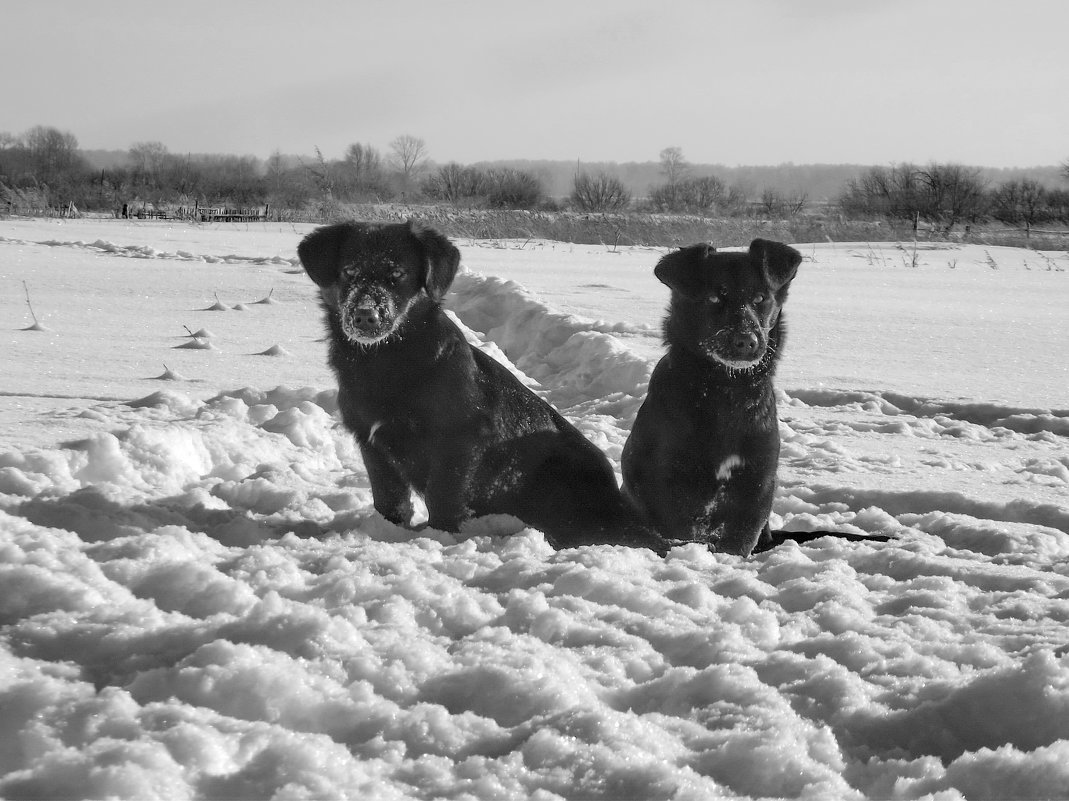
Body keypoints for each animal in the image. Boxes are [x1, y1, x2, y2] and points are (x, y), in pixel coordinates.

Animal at [301, 221, 662, 551]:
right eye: (349, 271)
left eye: (398, 274)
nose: (366, 316)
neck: (384, 362)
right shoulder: (372, 443)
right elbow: (390, 500)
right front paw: (389, 529)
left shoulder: (459, 440)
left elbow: (443, 497)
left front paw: (440, 538)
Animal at [624, 234, 880, 551]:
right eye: (714, 297)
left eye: (760, 298)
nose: (745, 340)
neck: (726, 388)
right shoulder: (668, 482)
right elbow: (680, 531)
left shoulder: (757, 483)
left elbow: (739, 542)